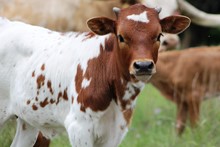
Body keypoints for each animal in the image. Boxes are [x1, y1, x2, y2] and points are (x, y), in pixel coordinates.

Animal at [0, 3, 190, 147]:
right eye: (121, 36)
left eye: (158, 35)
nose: (143, 65)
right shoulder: (79, 128)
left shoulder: (116, 131)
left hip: (28, 121)